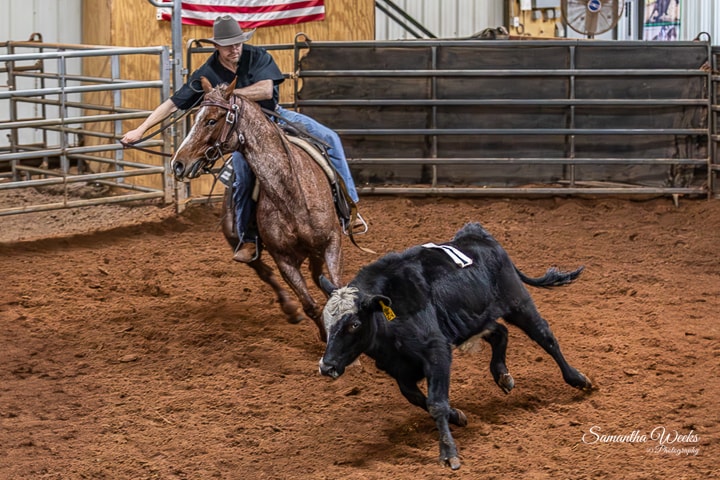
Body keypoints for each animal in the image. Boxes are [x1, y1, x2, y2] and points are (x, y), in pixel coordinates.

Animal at [170, 77, 344, 341]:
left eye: (211, 120)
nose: (178, 163)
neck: (292, 195)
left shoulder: (331, 241)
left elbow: (336, 288)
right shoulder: (283, 259)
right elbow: (309, 304)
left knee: (316, 276)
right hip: (236, 238)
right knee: (263, 271)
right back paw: (290, 309)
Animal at [318, 222, 593, 470]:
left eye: (354, 324)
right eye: (325, 321)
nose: (326, 366)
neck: (389, 315)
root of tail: (476, 234)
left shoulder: (437, 352)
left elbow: (436, 403)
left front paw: (449, 453)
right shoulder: (399, 369)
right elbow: (419, 399)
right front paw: (457, 416)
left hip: (518, 302)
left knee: (545, 336)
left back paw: (578, 379)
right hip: (475, 319)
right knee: (500, 333)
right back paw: (502, 375)